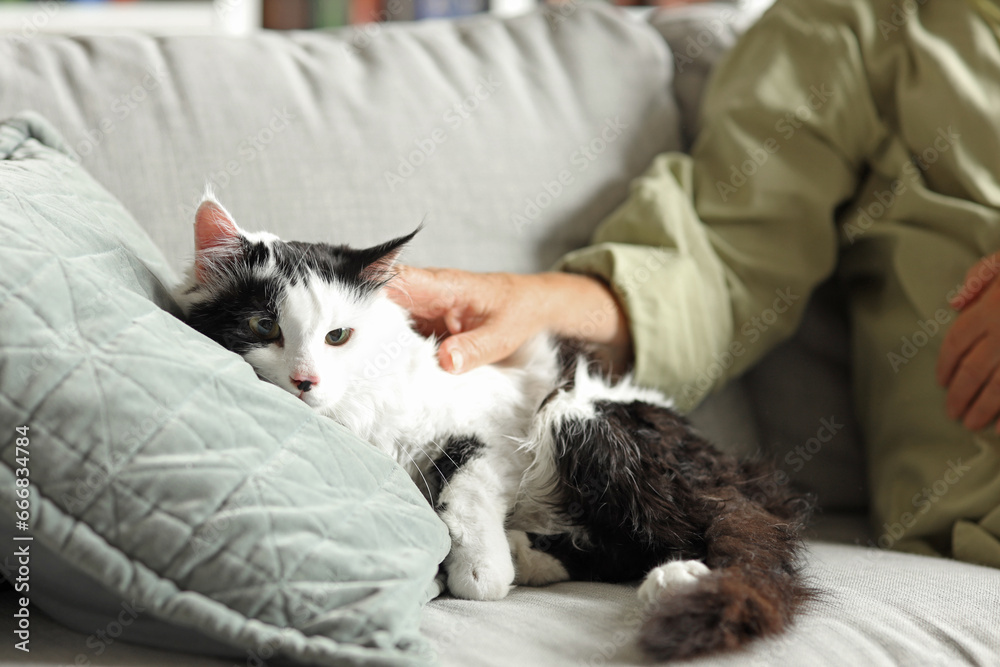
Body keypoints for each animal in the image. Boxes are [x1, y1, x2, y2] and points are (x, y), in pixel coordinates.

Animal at [174, 194, 812, 664]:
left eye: (338, 337)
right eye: (264, 326)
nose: (305, 381)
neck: (358, 419)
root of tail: (739, 474)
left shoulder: (497, 428)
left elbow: (467, 486)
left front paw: (481, 570)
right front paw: (484, 563)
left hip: (576, 417)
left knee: (670, 538)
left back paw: (673, 579)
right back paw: (532, 554)